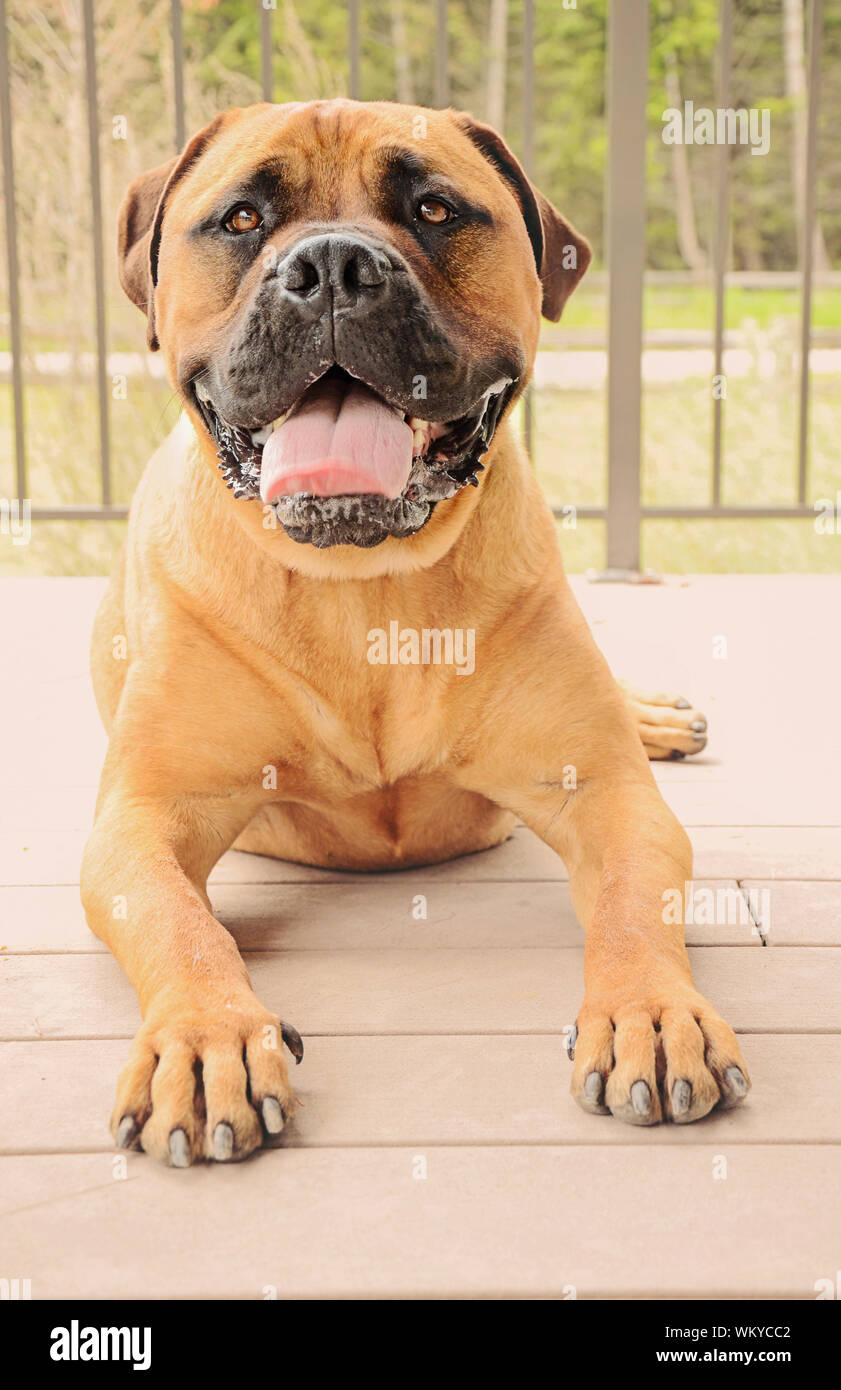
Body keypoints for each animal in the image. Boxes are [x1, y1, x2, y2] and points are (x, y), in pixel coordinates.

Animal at [82, 100, 750, 1162]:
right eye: (241, 219)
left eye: (435, 209)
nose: (332, 267)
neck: (362, 591)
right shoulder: (143, 820)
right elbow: (179, 923)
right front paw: (205, 1036)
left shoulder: (607, 796)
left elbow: (633, 904)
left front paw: (650, 1009)